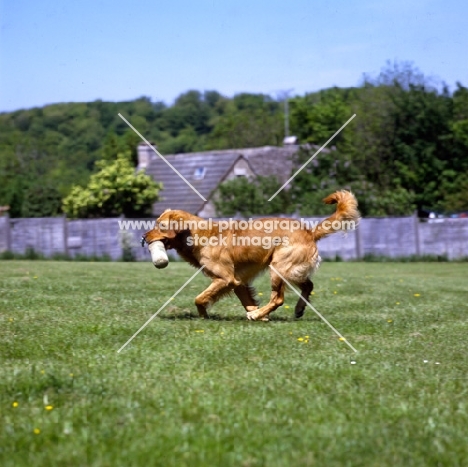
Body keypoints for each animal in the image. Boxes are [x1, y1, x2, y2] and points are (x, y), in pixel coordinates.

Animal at [141, 190, 360, 322]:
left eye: (160, 225)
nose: (143, 236)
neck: (198, 235)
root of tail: (309, 231)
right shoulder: (238, 281)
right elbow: (247, 301)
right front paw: (259, 315)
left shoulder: (225, 278)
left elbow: (199, 299)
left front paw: (204, 315)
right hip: (291, 269)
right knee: (308, 285)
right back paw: (296, 310)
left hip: (278, 267)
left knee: (278, 299)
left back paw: (258, 315)